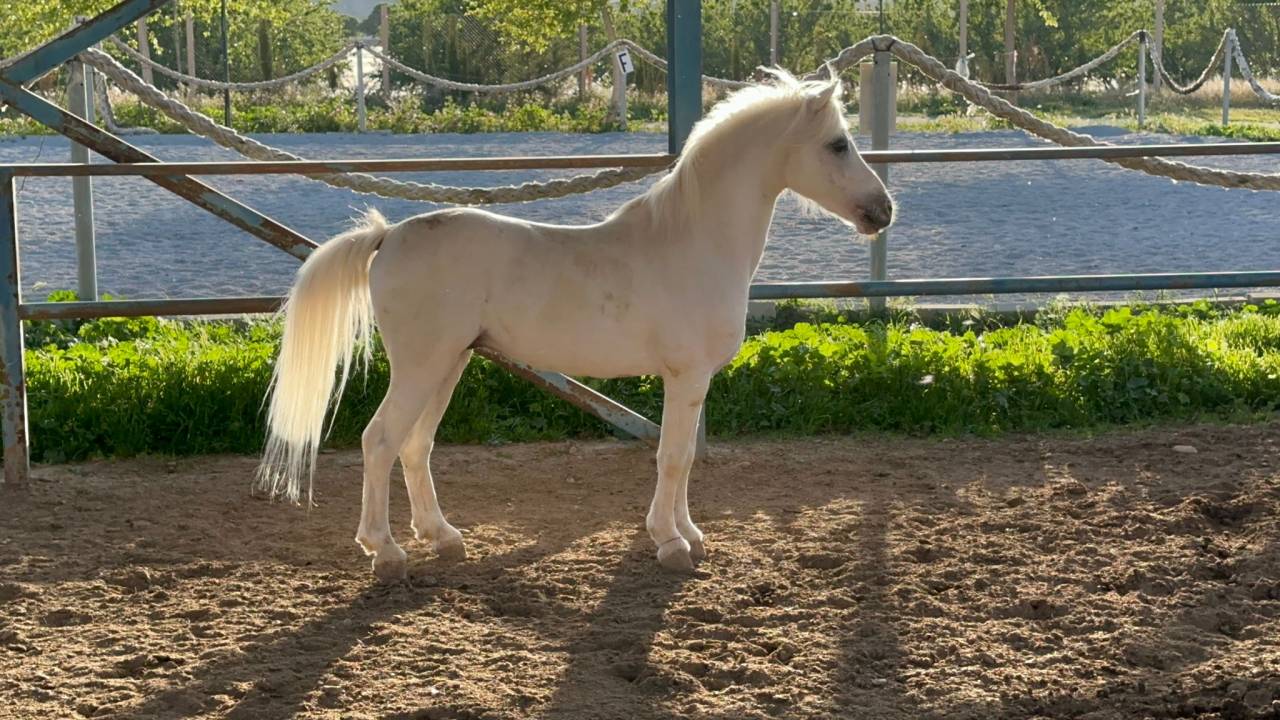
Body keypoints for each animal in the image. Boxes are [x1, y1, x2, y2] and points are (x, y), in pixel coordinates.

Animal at [257, 68, 894, 582]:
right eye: (838, 144)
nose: (883, 211)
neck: (691, 243)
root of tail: (388, 235)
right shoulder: (685, 377)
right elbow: (673, 458)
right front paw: (670, 544)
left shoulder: (693, 383)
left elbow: (684, 457)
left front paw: (689, 535)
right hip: (422, 367)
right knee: (381, 441)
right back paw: (385, 552)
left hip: (450, 364)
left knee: (416, 446)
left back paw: (444, 539)